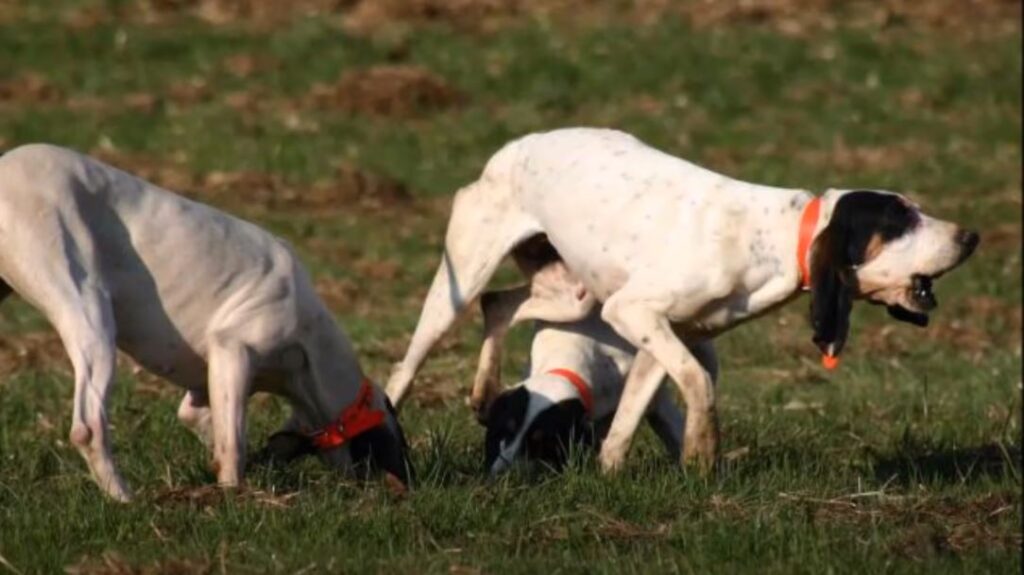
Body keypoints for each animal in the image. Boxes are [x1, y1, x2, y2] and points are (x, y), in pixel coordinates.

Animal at [0, 143, 409, 497]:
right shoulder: (234, 353)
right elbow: (233, 446)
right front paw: (234, 496)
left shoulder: (201, 394)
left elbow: (213, 431)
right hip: (89, 315)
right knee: (88, 426)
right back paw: (126, 499)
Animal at [387, 127, 978, 472]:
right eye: (899, 221)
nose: (971, 236)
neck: (774, 238)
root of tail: (513, 146)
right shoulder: (633, 313)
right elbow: (698, 384)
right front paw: (702, 450)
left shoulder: (660, 337)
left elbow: (626, 419)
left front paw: (609, 474)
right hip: (462, 282)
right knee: (412, 362)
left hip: (572, 297)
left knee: (499, 305)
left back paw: (484, 391)